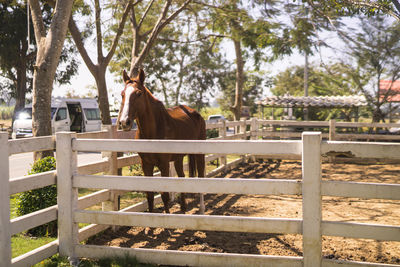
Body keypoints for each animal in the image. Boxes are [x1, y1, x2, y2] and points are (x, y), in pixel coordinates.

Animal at [118, 70, 206, 215]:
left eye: (139, 93)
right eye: (122, 94)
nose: (124, 122)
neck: (152, 133)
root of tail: (194, 113)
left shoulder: (163, 164)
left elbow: (164, 194)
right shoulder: (146, 164)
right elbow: (149, 195)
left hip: (199, 154)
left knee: (201, 177)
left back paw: (202, 209)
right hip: (178, 158)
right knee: (182, 176)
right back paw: (183, 208)